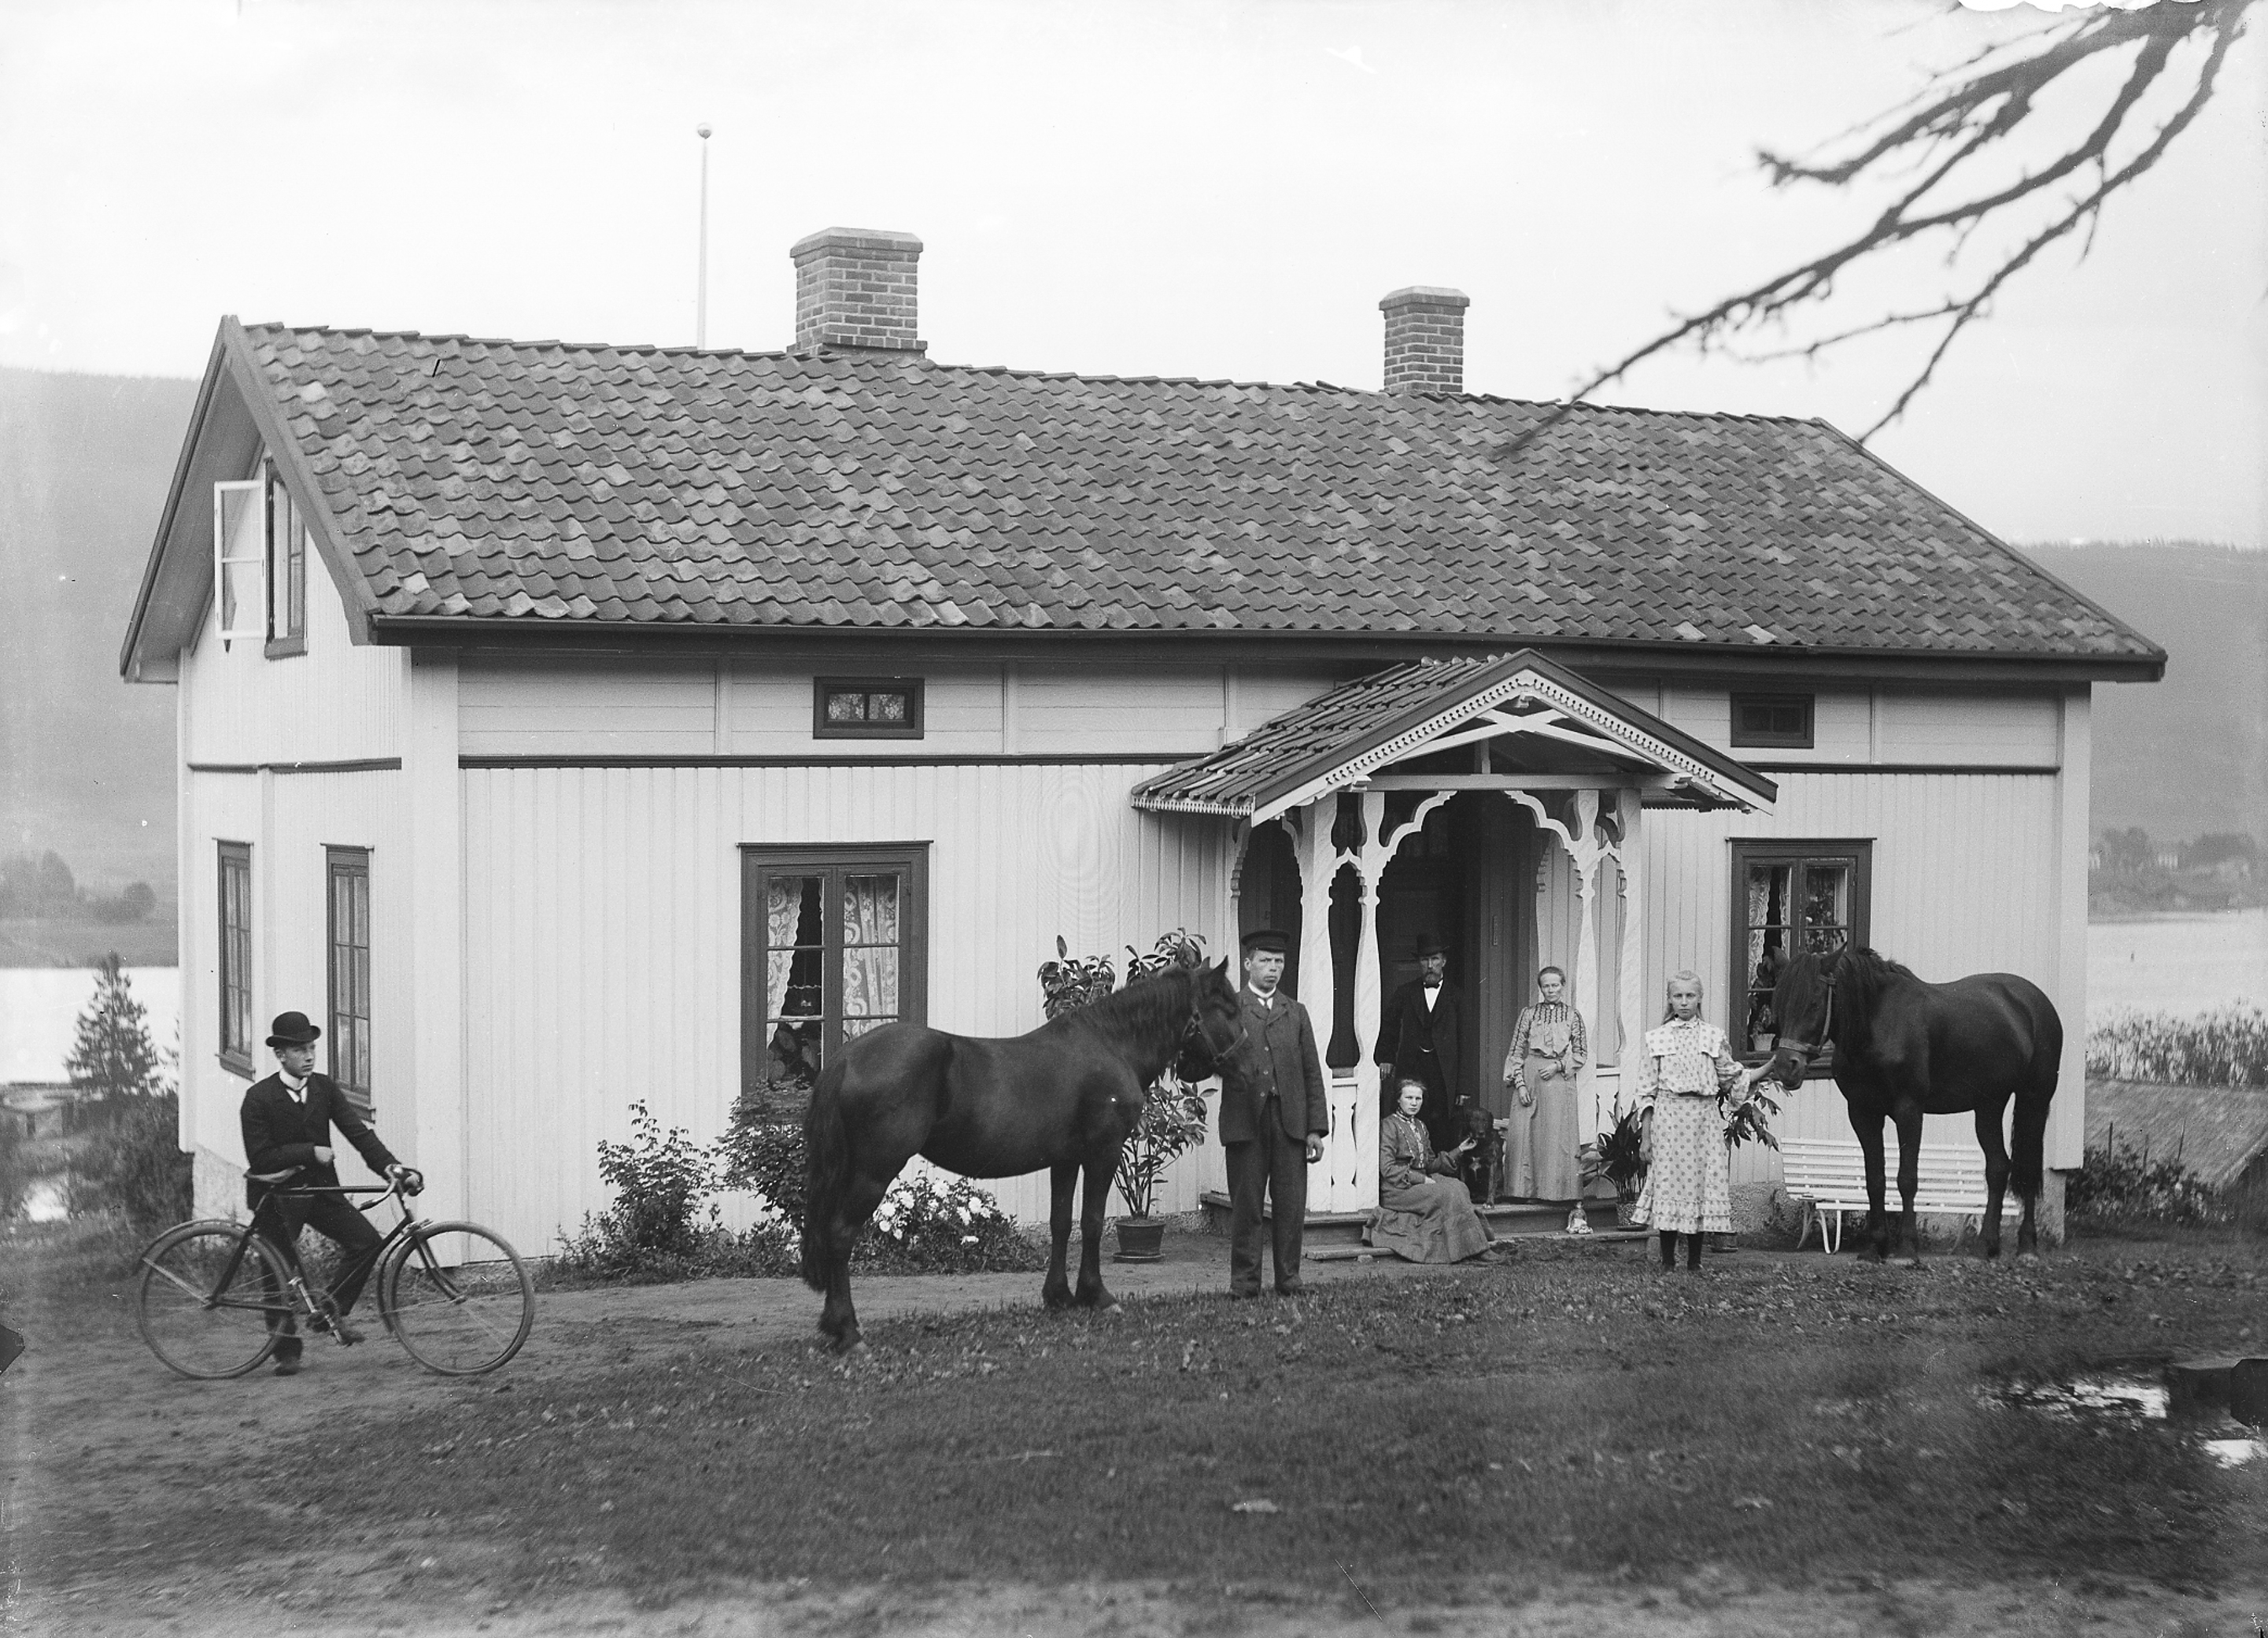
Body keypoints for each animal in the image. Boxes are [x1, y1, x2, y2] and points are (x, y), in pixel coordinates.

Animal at [799, 958, 1246, 1350]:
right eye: (1228, 1007)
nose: (1248, 1065)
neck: (1112, 1045)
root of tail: (845, 1059)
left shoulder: (1065, 1159)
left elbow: (1061, 1223)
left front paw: (1059, 1297)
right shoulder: (1103, 1152)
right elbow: (1092, 1221)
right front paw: (1097, 1296)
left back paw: (834, 1326)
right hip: (873, 1172)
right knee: (840, 1235)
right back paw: (849, 1333)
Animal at [1762, 945, 2062, 1264]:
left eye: (1814, 1003)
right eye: (1779, 1002)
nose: (1786, 1067)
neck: (1878, 1023)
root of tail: (2035, 1001)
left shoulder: (1909, 1111)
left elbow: (1906, 1179)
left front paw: (1906, 1248)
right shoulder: (1863, 1112)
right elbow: (1875, 1179)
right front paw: (1875, 1247)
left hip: (2034, 1099)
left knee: (2027, 1168)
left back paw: (2027, 1246)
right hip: (1988, 1106)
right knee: (1998, 1167)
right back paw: (1986, 1246)